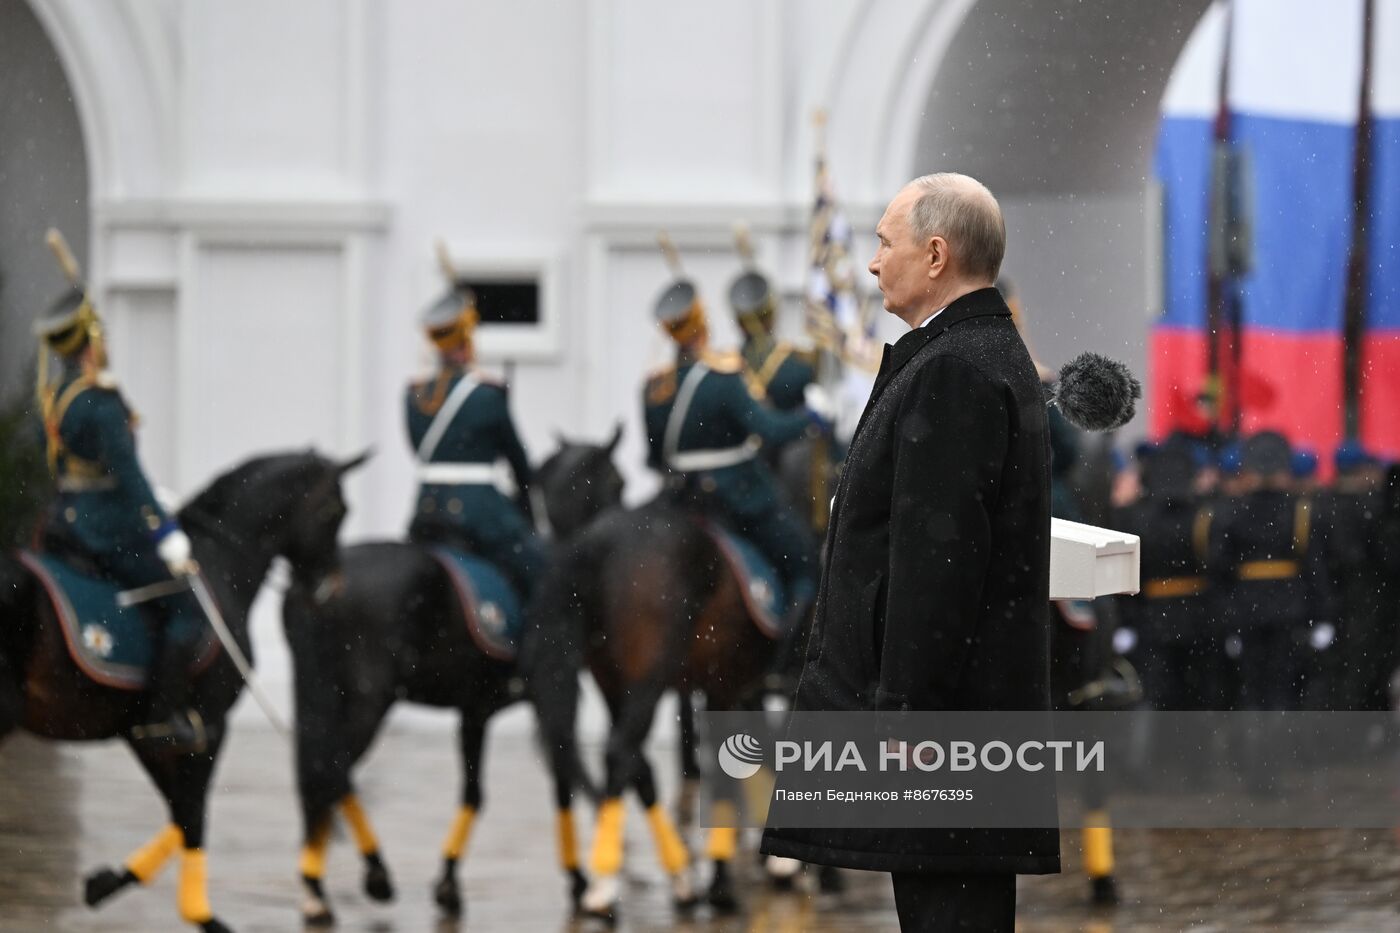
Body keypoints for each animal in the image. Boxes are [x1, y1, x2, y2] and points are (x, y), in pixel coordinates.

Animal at [0, 448, 366, 924]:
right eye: (335, 511)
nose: (329, 589)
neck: (218, 565)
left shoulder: (148, 734)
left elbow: (180, 813)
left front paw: (106, 883)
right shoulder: (207, 725)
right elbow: (193, 816)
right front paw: (201, 915)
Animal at [278, 428, 618, 924]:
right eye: (618, 481)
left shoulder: (475, 711)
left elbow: (474, 793)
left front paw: (449, 884)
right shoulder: (548, 699)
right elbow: (562, 783)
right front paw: (580, 881)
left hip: (321, 694)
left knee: (320, 774)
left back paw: (318, 883)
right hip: (368, 701)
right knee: (332, 770)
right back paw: (361, 877)